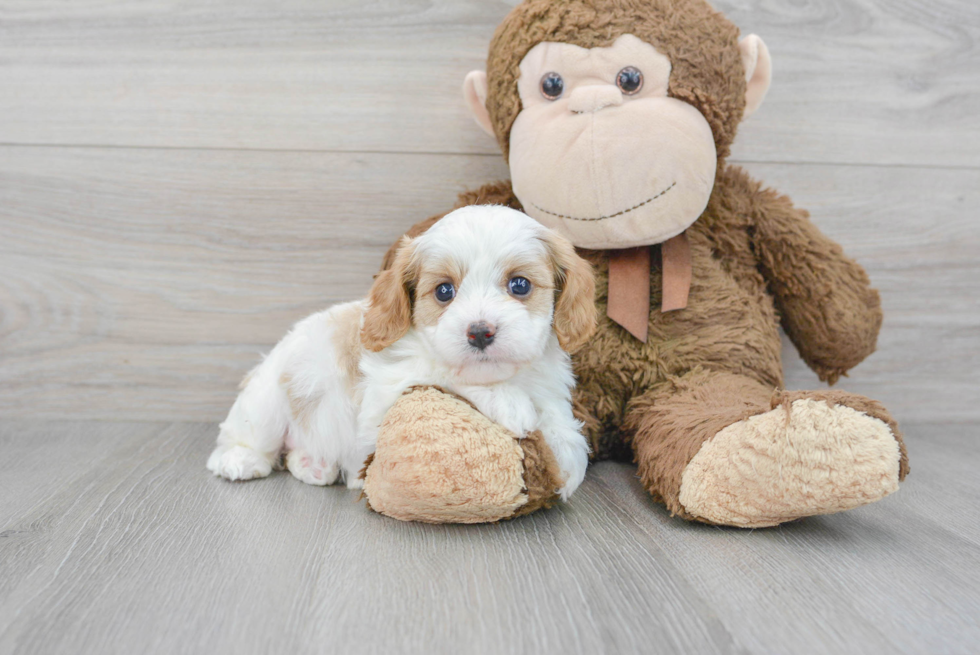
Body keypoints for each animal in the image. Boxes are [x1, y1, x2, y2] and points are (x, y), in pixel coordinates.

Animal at [207, 208, 596, 500]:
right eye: (444, 291)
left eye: (520, 285)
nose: (479, 332)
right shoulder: (386, 394)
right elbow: (442, 372)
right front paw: (509, 402)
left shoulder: (550, 387)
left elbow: (565, 432)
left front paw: (564, 459)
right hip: (268, 400)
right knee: (244, 438)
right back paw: (239, 460)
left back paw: (313, 465)